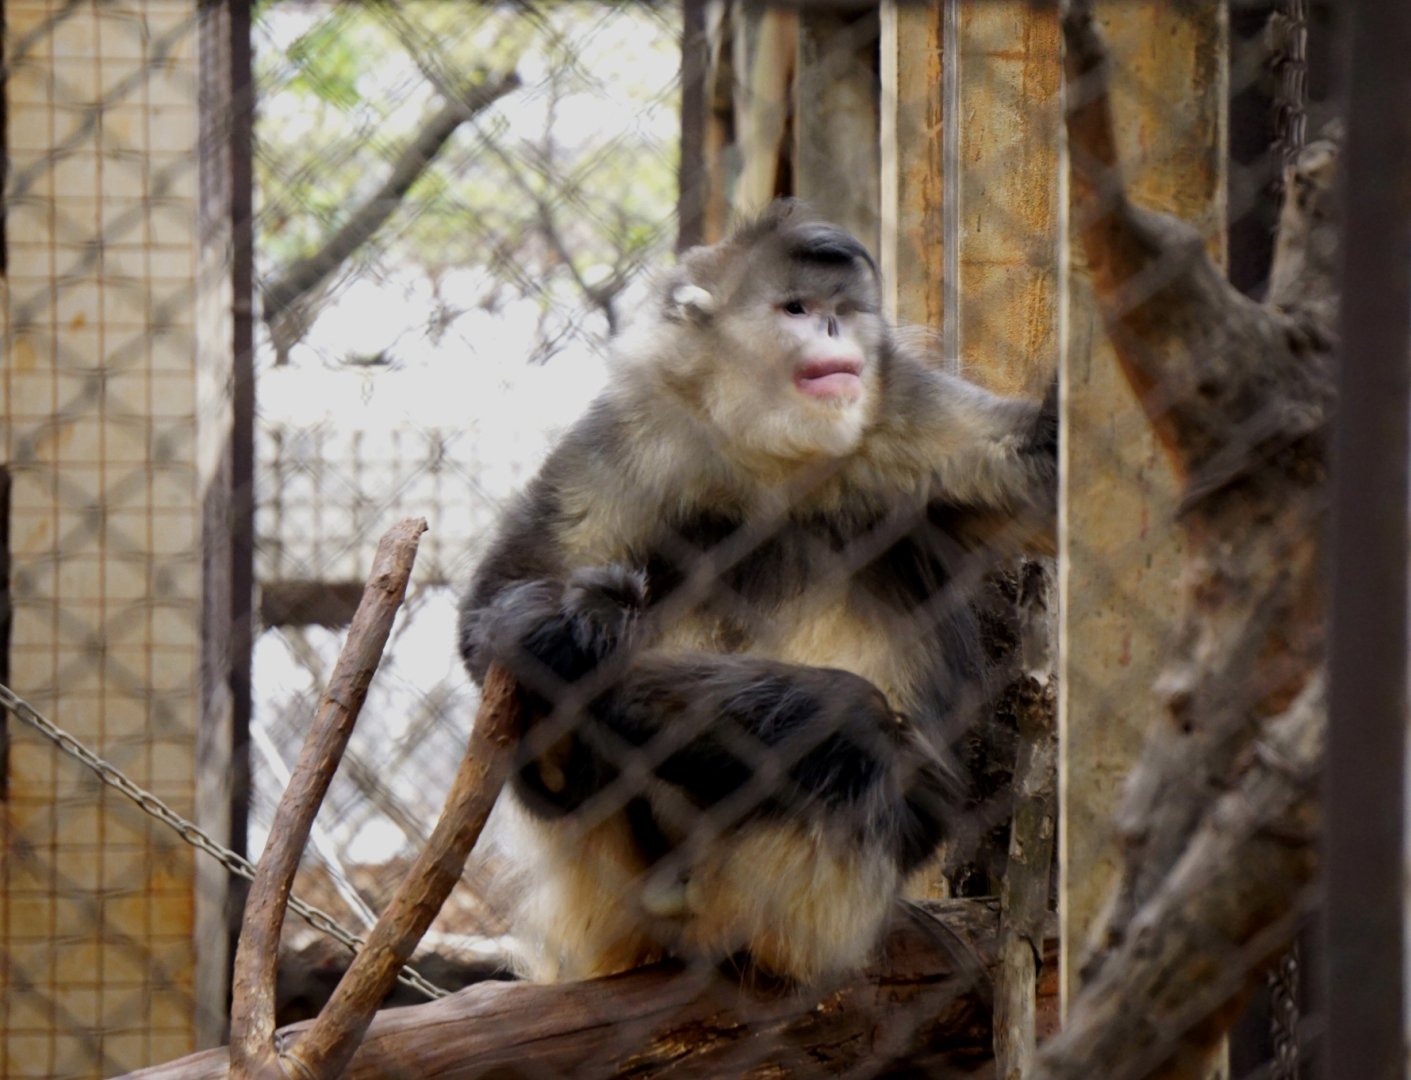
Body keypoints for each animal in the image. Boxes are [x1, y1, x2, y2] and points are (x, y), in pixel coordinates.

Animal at [458, 200, 1055, 984]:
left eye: (843, 311)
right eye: (796, 308)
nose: (831, 330)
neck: (770, 456)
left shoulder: (908, 413)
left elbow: (1045, 461)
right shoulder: (635, 424)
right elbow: (494, 605)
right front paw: (556, 635)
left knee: (857, 727)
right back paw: (562, 753)